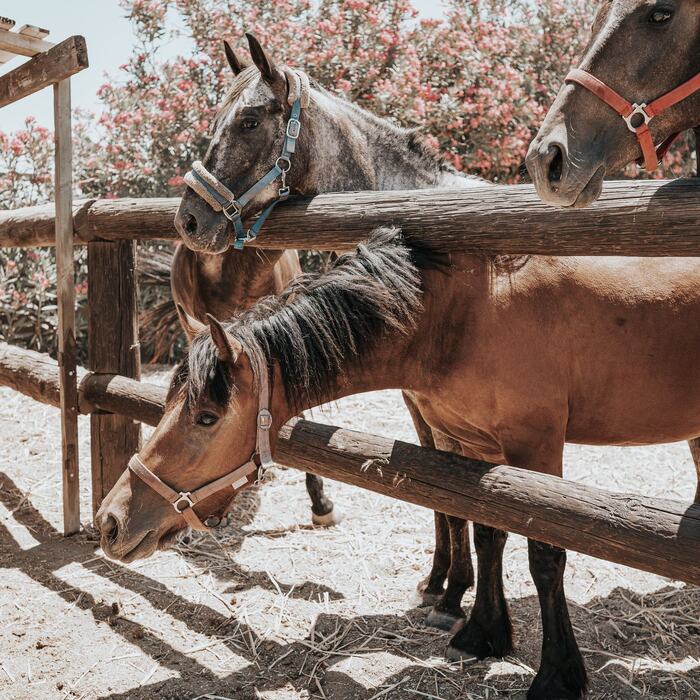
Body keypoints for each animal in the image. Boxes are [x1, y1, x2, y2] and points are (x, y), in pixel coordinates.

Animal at [96, 228, 700, 698]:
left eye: (206, 416)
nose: (110, 520)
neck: (467, 312)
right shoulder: (473, 447)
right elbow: (486, 532)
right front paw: (483, 633)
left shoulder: (536, 448)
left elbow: (545, 556)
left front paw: (557, 675)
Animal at [172, 33, 489, 630]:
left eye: (249, 121)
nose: (189, 221)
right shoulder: (418, 396)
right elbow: (434, 479)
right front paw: (439, 583)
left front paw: (455, 591)